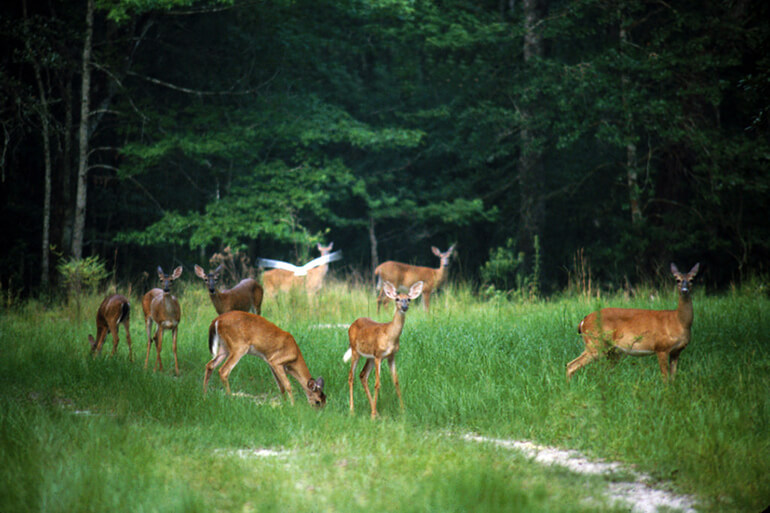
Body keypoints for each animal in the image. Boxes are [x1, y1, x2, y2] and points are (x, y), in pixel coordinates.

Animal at [344, 280, 423, 418]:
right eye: (397, 299)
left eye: (408, 299)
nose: (404, 307)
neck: (390, 335)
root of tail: (352, 324)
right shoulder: (379, 356)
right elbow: (377, 384)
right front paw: (372, 417)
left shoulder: (391, 356)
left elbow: (396, 382)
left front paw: (403, 410)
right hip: (355, 351)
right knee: (351, 376)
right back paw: (353, 410)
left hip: (369, 357)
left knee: (362, 375)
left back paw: (375, 411)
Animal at [566, 263, 700, 382]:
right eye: (677, 279)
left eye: (692, 279)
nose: (684, 290)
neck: (679, 321)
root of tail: (583, 321)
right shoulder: (661, 347)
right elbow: (665, 378)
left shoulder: (676, 351)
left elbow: (673, 378)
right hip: (595, 343)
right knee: (571, 365)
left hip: (611, 351)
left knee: (604, 370)